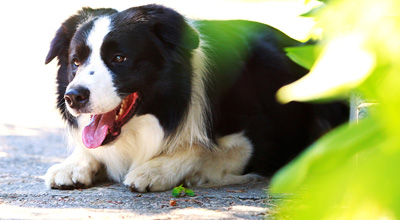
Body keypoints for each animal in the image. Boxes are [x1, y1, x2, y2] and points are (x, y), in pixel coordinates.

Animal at [43, 4, 346, 192]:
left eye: (119, 58)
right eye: (76, 61)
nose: (74, 97)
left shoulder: (262, 139)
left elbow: (203, 149)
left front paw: (154, 170)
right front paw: (73, 164)